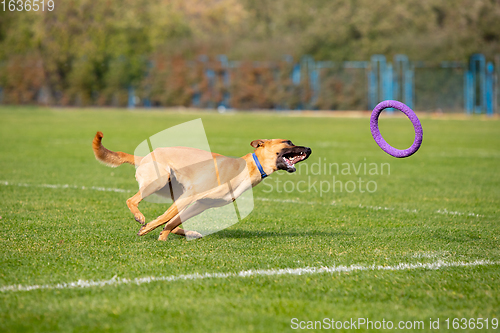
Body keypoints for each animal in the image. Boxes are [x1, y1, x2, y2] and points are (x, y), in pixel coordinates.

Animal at [92, 131, 310, 240]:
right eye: (288, 142)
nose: (308, 148)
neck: (248, 166)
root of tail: (143, 157)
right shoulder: (191, 195)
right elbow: (164, 218)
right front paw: (147, 230)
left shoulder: (201, 204)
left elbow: (170, 223)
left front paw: (162, 237)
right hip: (159, 181)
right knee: (132, 200)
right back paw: (141, 218)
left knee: (174, 220)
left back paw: (187, 233)